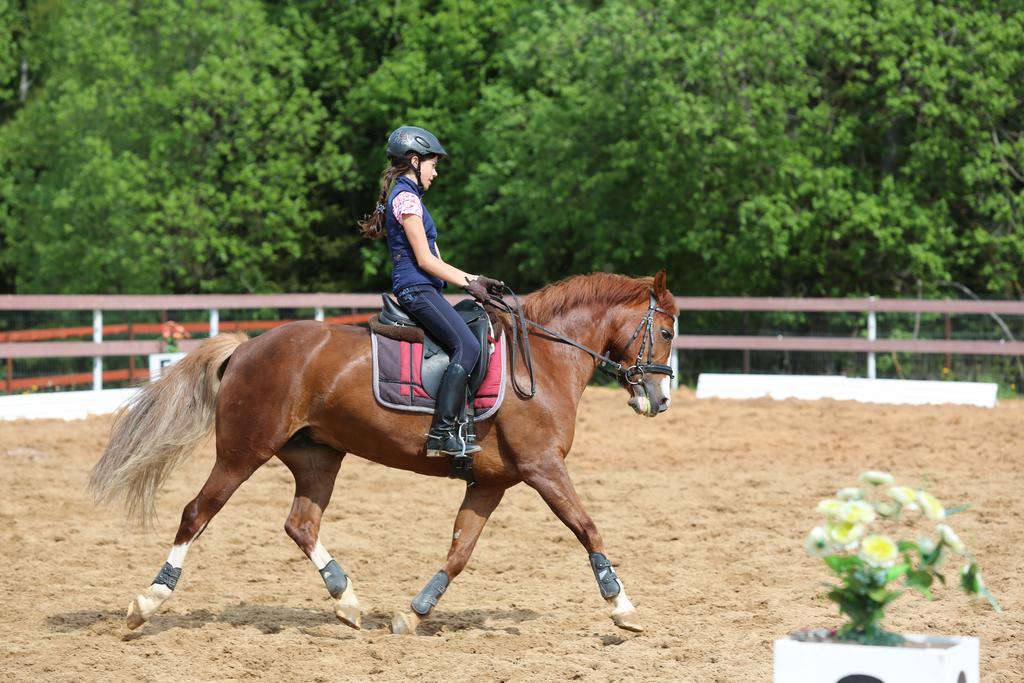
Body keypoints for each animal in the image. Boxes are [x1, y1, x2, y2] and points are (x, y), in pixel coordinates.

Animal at [90, 270, 679, 634]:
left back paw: (347, 601)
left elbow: (460, 551)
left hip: (318, 458)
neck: (545, 357)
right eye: (670, 332)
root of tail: (247, 346)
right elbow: (587, 528)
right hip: (242, 453)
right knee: (197, 513)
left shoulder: (491, 481)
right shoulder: (543, 468)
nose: (660, 399)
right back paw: (148, 602)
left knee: (301, 524)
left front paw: (413, 614)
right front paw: (623, 607)